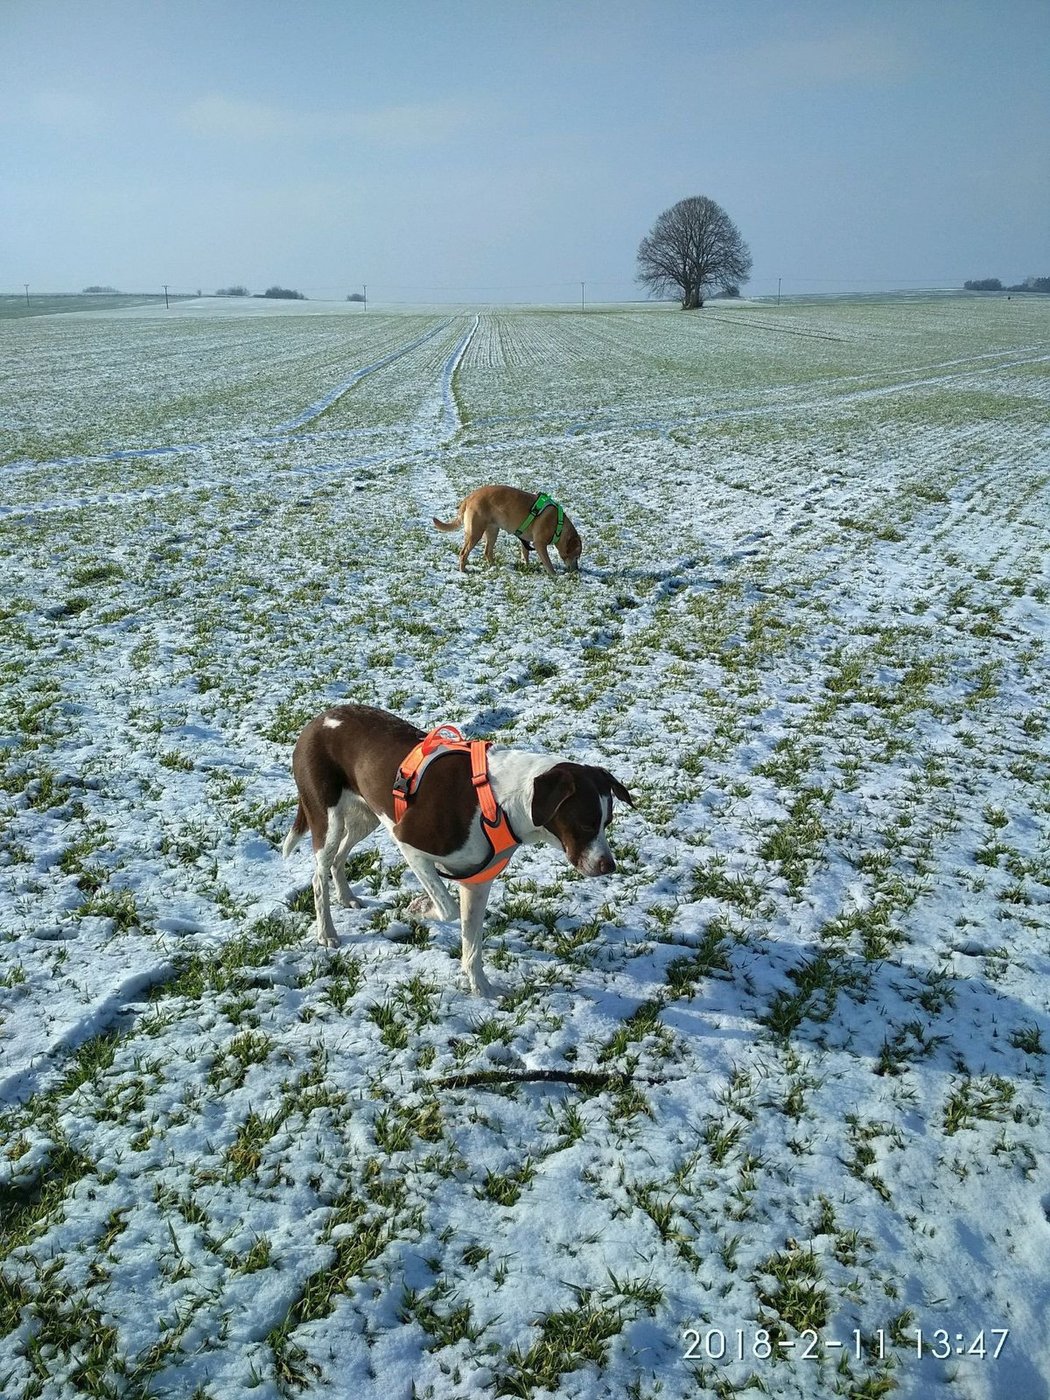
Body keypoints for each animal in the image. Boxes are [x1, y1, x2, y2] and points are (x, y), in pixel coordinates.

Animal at [281, 700, 632, 996]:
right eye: (586, 823)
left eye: (608, 821)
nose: (609, 866)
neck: (500, 803)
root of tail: (319, 719)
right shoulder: (409, 843)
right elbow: (447, 908)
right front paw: (420, 907)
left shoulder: (477, 881)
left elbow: (472, 943)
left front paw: (481, 988)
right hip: (327, 818)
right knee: (319, 874)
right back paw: (327, 932)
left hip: (365, 816)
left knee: (338, 859)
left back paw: (347, 897)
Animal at [434, 484, 585, 576]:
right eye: (576, 556)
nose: (576, 571)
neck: (558, 525)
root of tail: (469, 498)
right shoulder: (539, 544)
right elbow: (548, 562)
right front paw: (554, 575)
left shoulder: (525, 540)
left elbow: (525, 554)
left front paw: (526, 565)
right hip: (475, 532)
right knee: (463, 553)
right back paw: (463, 570)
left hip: (493, 530)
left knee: (487, 552)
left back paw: (494, 567)